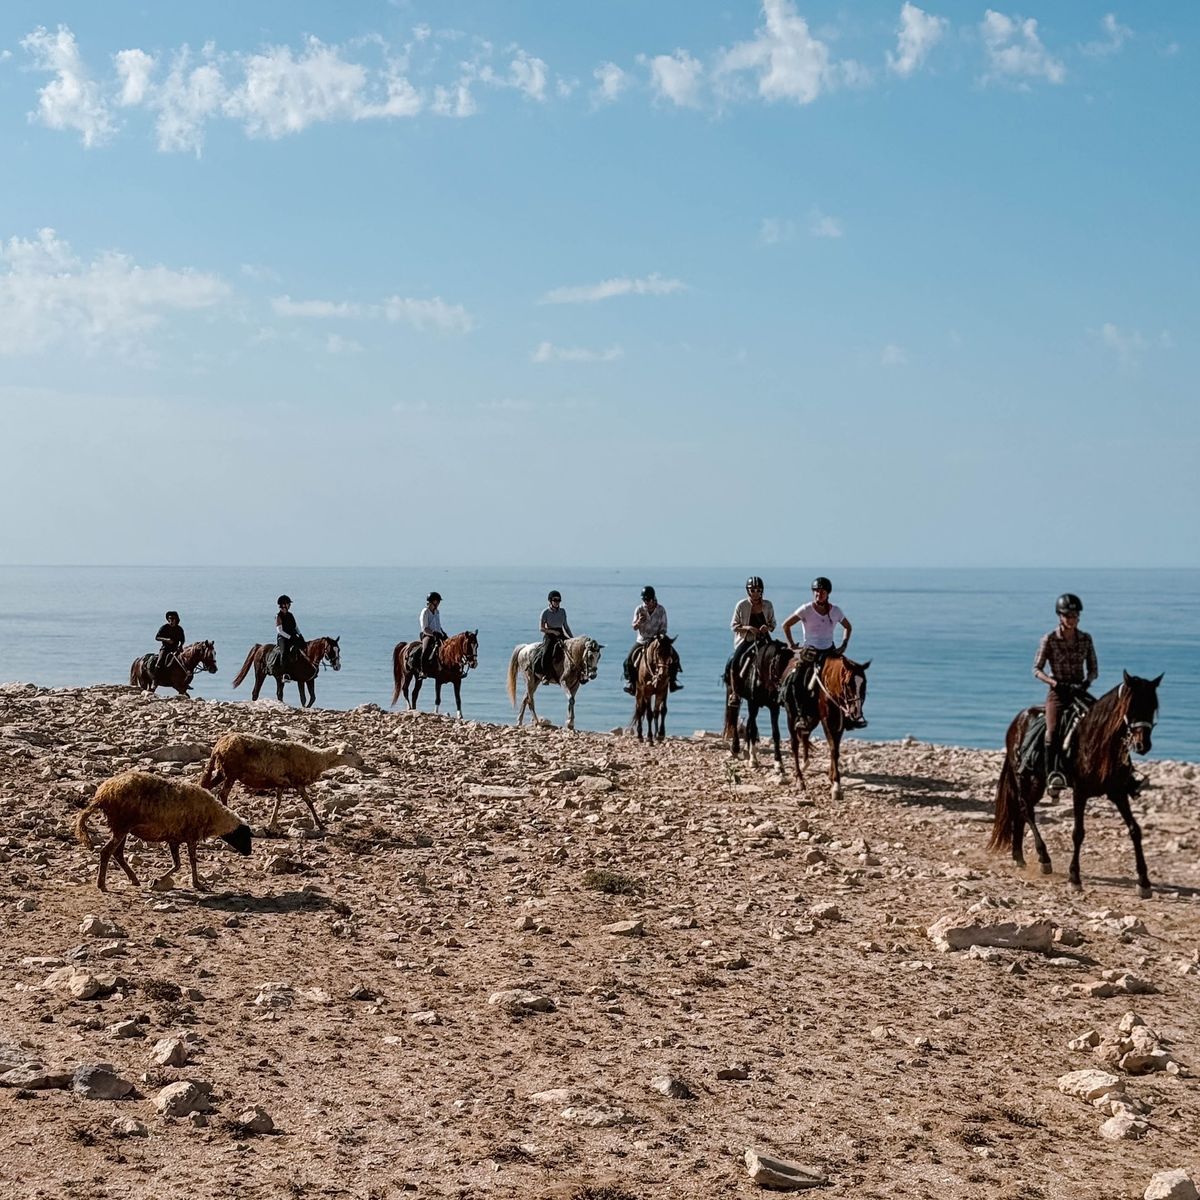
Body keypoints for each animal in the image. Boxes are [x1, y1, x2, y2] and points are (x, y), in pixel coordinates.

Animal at [723, 638, 794, 773]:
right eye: (779, 664)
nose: (785, 690)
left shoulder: (774, 708)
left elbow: (775, 733)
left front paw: (778, 763)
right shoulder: (753, 704)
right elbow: (752, 729)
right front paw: (753, 760)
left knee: (749, 724)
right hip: (732, 692)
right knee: (734, 718)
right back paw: (736, 748)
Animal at [779, 651, 871, 800]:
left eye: (864, 684)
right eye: (848, 684)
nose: (855, 713)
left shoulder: (839, 723)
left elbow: (835, 750)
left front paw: (833, 779)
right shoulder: (827, 722)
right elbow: (833, 749)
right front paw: (836, 787)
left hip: (812, 719)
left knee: (804, 735)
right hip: (791, 716)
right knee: (794, 744)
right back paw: (800, 780)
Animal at [989, 671, 1162, 898]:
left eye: (1152, 707)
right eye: (1131, 706)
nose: (1143, 745)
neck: (1098, 743)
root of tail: (1018, 720)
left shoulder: (1118, 793)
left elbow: (1135, 830)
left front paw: (1144, 882)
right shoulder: (1079, 792)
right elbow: (1078, 833)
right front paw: (1074, 878)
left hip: (1038, 781)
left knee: (1022, 811)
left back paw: (1019, 857)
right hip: (1024, 777)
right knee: (1026, 809)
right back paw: (1044, 859)